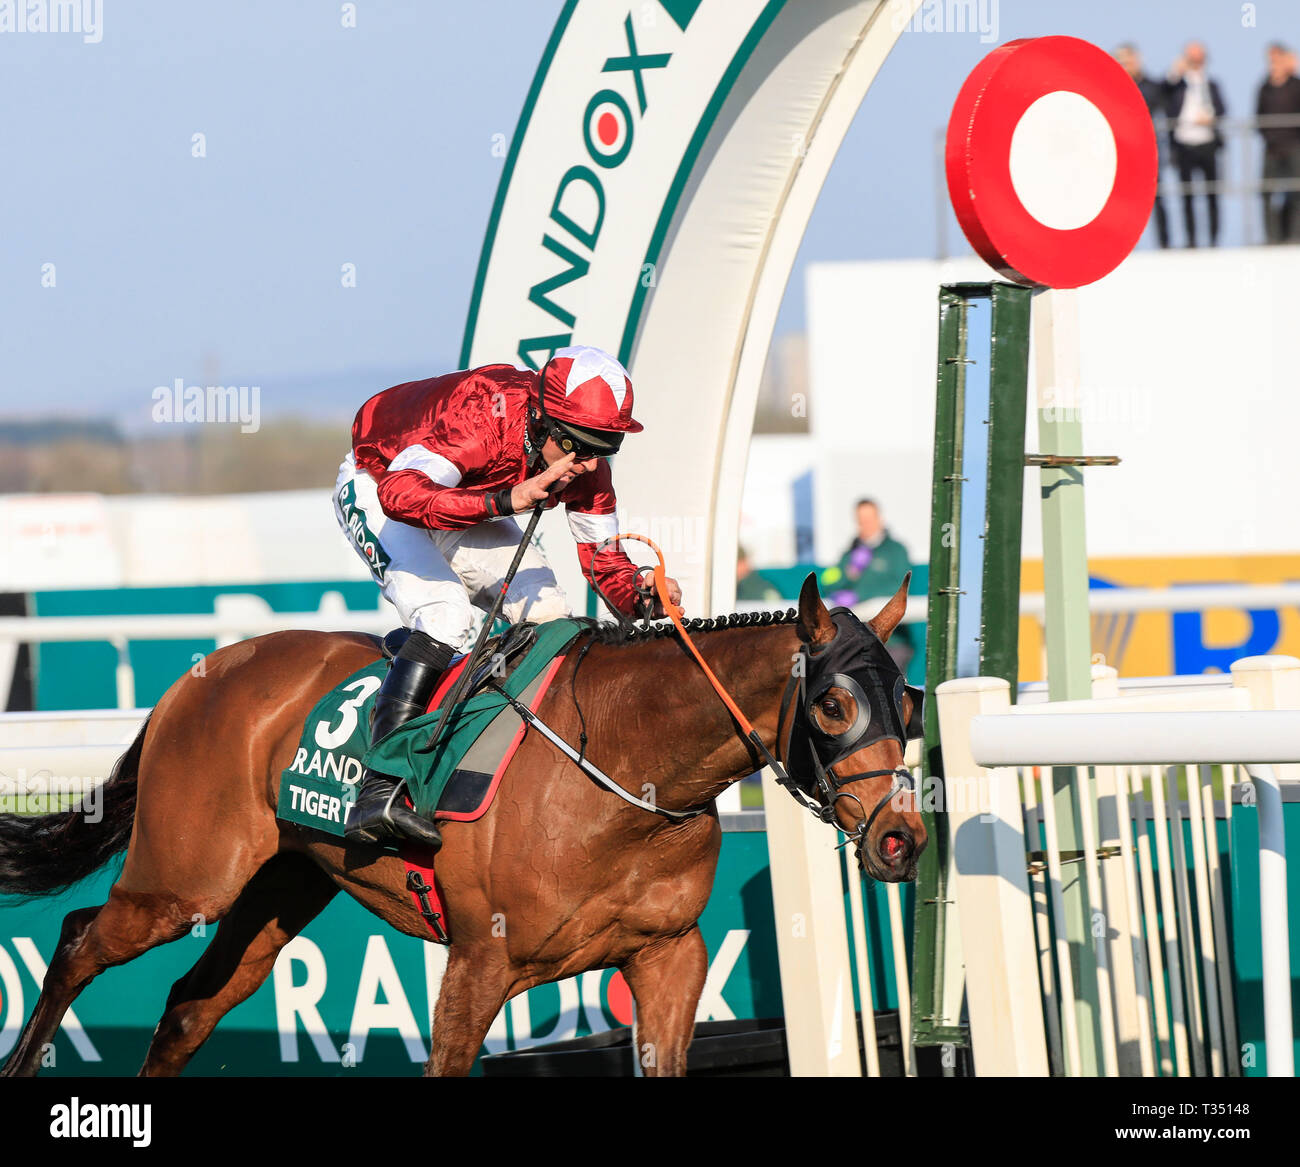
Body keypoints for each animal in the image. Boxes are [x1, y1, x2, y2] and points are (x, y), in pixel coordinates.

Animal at [5, 571, 930, 1070]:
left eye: (910, 700)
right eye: (835, 704)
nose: (900, 837)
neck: (622, 767)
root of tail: (195, 676)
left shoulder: (669, 955)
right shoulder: (481, 961)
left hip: (279, 889)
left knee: (189, 1008)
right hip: (184, 880)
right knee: (80, 939)